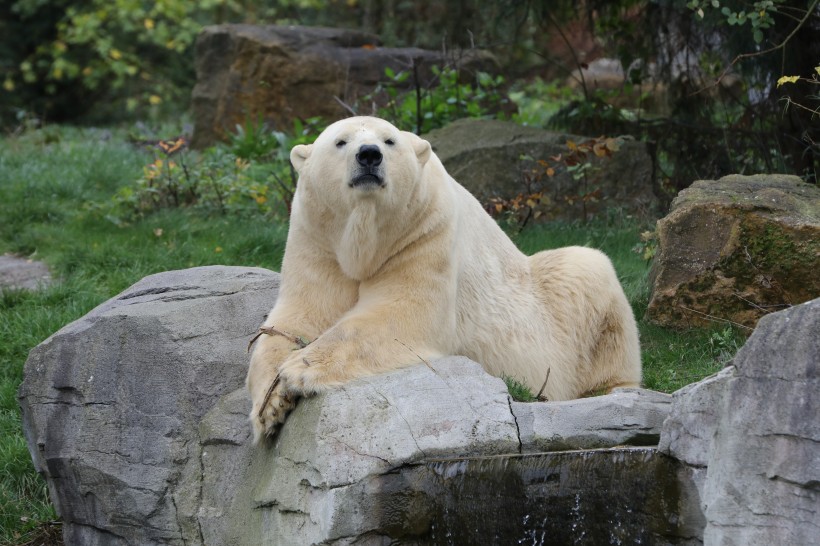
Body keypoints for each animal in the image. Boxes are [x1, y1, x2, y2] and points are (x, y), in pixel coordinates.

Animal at [247, 117, 644, 440]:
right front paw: (270, 404)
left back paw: (610, 391)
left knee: (588, 271)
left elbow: (403, 313)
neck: (368, 235)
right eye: (340, 141)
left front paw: (298, 369)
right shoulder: (317, 238)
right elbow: (297, 316)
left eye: (389, 140)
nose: (369, 155)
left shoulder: (425, 230)